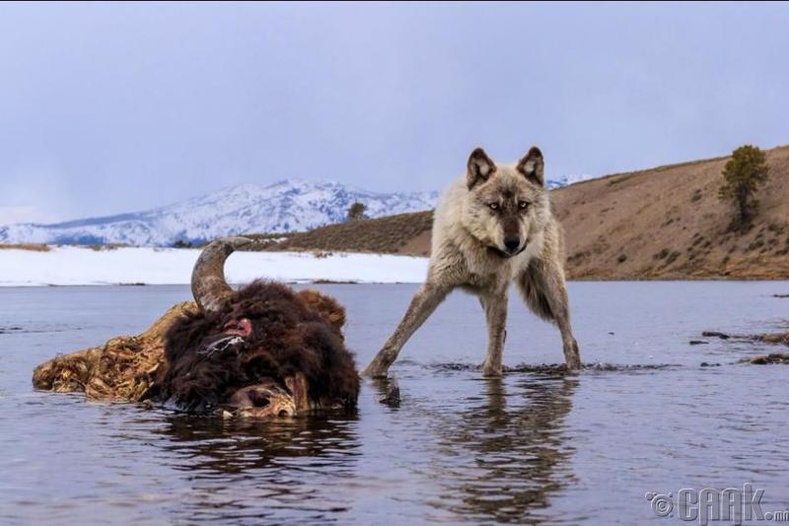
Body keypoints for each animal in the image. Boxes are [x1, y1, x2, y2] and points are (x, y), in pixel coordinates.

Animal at [364, 147, 580, 380]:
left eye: (522, 205)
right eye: (494, 206)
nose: (513, 243)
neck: (479, 248)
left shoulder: (498, 294)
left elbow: (494, 357)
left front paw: (492, 374)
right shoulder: (435, 288)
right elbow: (396, 339)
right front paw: (369, 373)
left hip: (552, 288)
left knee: (569, 339)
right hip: (487, 298)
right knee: (502, 335)